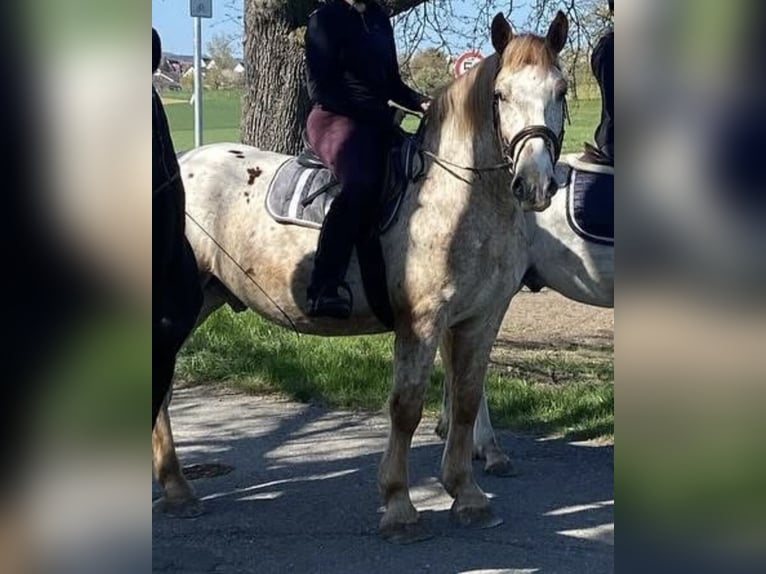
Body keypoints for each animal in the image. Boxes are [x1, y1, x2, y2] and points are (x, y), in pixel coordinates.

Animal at [153, 12, 570, 542]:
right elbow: (406, 407)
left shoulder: (481, 319)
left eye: (560, 89)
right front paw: (399, 505)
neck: (459, 198)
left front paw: (468, 495)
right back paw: (177, 489)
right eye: (500, 95)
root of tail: (185, 162)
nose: (535, 184)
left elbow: (466, 401)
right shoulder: (421, 322)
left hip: (201, 299)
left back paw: (176, 488)